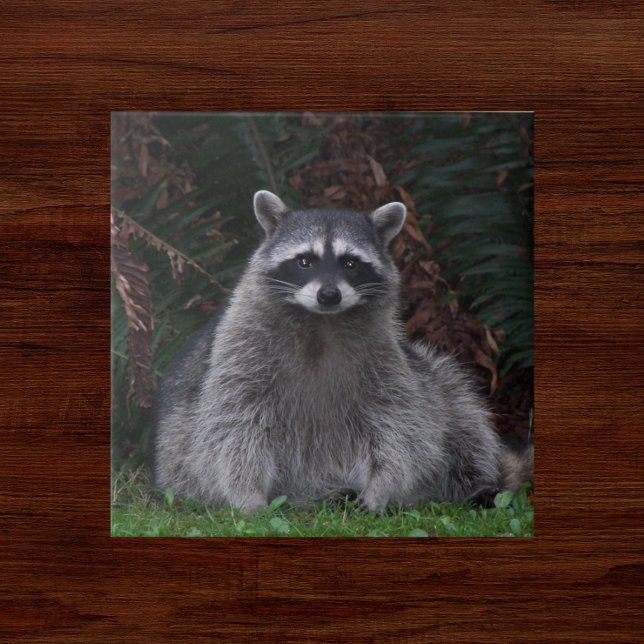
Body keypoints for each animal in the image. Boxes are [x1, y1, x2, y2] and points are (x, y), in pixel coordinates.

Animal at [152, 190, 531, 513]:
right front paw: (247, 493)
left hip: (430, 374)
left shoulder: (385, 355)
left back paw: (477, 483)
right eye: (305, 261)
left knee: (461, 414)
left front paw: (381, 488)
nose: (329, 295)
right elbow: (234, 423)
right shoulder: (239, 349)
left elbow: (397, 422)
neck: (321, 322)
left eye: (350, 263)